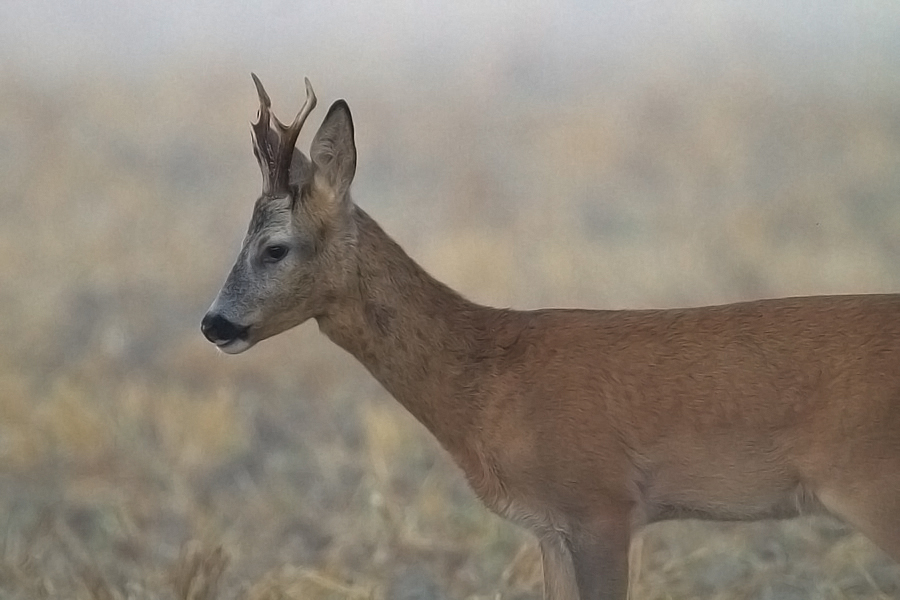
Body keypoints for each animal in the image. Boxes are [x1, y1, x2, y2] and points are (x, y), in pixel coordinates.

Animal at [202, 76, 900, 600]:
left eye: (274, 247)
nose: (213, 323)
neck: (486, 380)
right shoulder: (550, 529)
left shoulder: (601, 504)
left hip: (872, 482)